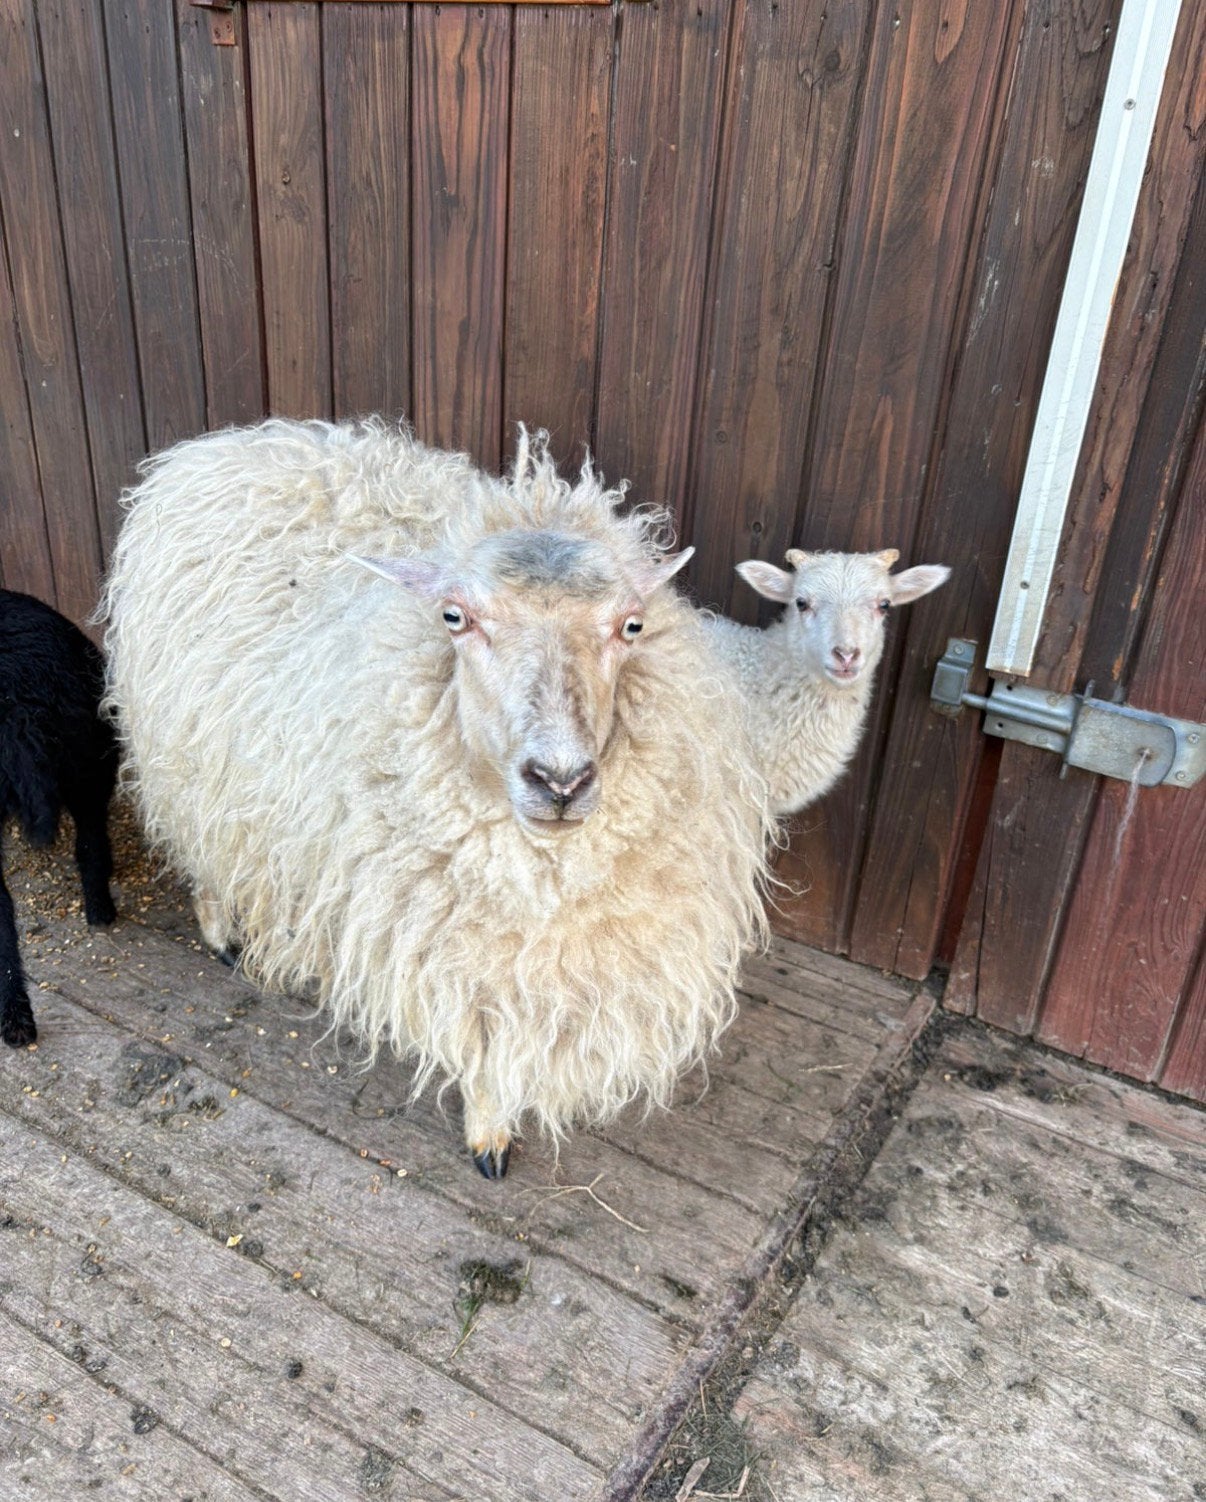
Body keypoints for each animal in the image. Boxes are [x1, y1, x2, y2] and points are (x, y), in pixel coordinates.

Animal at [101, 418, 773, 1178]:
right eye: (455, 617)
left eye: (631, 625)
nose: (560, 781)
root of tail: (225, 445)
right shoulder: (458, 946)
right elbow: (486, 1034)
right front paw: (489, 1131)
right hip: (184, 759)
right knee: (203, 849)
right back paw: (221, 935)